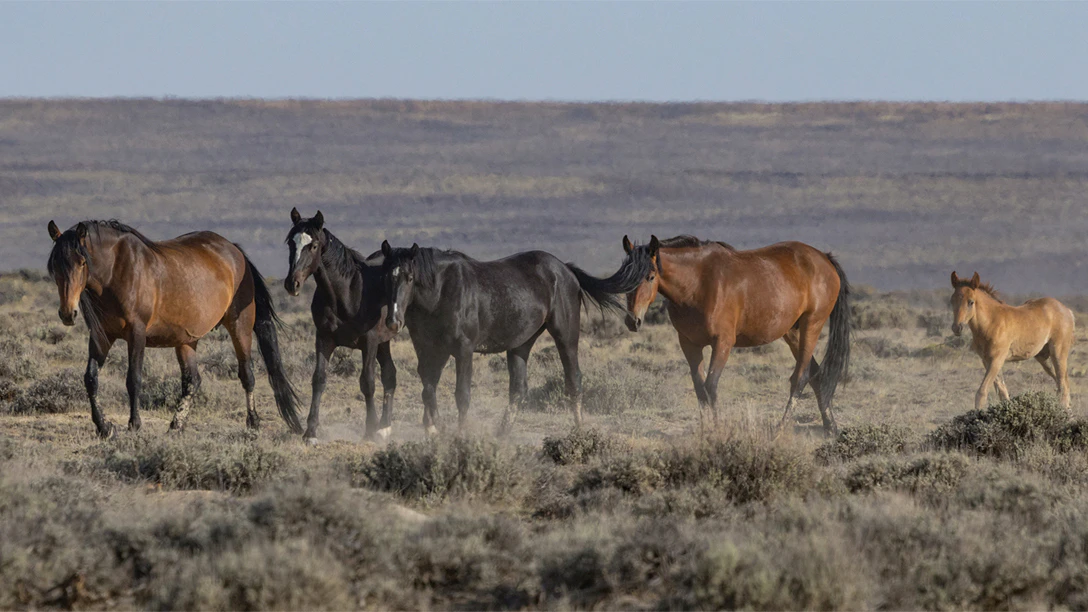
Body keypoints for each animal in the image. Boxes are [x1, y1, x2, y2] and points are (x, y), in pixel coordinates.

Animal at [46, 220, 302, 438]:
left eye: (82, 262)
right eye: (54, 266)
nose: (68, 313)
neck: (117, 271)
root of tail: (235, 251)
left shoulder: (136, 334)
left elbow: (133, 379)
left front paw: (134, 425)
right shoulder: (102, 336)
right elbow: (91, 378)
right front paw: (104, 427)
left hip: (240, 327)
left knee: (247, 374)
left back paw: (253, 423)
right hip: (187, 340)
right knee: (192, 381)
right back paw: (175, 426)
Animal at [284, 208, 398, 442]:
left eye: (314, 245)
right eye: (291, 243)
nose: (292, 284)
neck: (348, 293)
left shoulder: (369, 342)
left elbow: (367, 382)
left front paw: (369, 430)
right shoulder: (324, 338)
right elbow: (319, 379)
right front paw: (310, 432)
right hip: (384, 342)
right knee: (390, 375)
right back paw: (385, 427)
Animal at [379, 241, 630, 433]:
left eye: (410, 277)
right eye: (386, 276)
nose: (393, 320)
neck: (441, 292)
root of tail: (566, 270)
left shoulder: (463, 350)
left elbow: (462, 395)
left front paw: (459, 434)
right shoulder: (428, 349)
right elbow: (428, 390)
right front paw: (437, 429)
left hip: (566, 336)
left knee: (573, 380)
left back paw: (579, 430)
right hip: (521, 344)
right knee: (518, 389)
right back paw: (501, 434)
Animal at [618, 235, 851, 435]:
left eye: (650, 277)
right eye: (624, 275)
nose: (632, 320)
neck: (698, 283)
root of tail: (824, 259)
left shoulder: (723, 343)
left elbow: (711, 387)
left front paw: (718, 430)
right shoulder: (689, 344)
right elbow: (700, 389)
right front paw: (706, 431)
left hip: (812, 326)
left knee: (800, 378)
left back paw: (780, 429)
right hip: (792, 332)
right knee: (816, 375)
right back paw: (831, 428)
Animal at [950, 271, 1074, 411]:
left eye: (971, 302)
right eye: (952, 300)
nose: (957, 328)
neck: (991, 322)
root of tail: (1067, 311)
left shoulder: (997, 359)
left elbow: (982, 392)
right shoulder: (986, 360)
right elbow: (1002, 392)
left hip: (1058, 353)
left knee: (1062, 384)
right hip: (1044, 357)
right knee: (1063, 383)